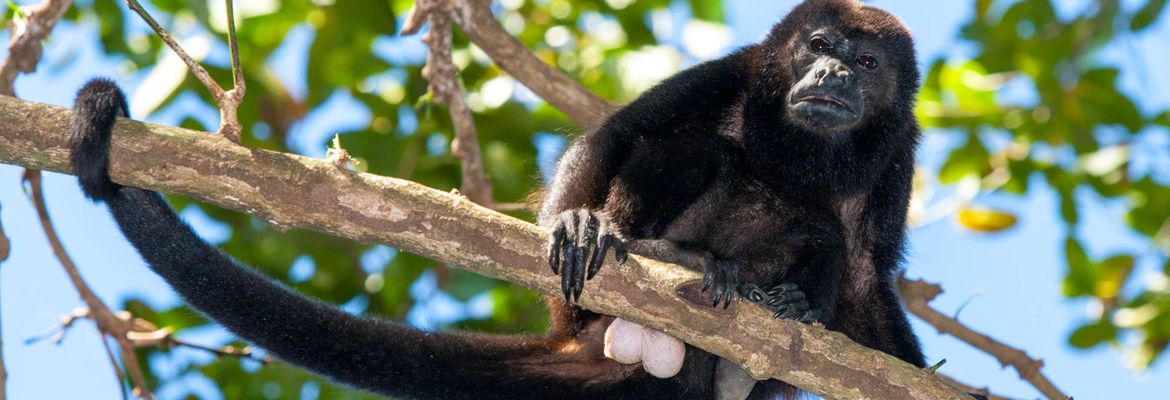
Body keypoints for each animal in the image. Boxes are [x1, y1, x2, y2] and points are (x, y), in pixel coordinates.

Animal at [68, 1, 935, 399]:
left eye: (865, 64)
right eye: (818, 46)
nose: (832, 76)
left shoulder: (901, 148)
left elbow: (868, 273)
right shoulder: (740, 68)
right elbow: (615, 135)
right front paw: (577, 222)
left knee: (824, 240)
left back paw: (771, 309)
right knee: (692, 148)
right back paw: (666, 256)